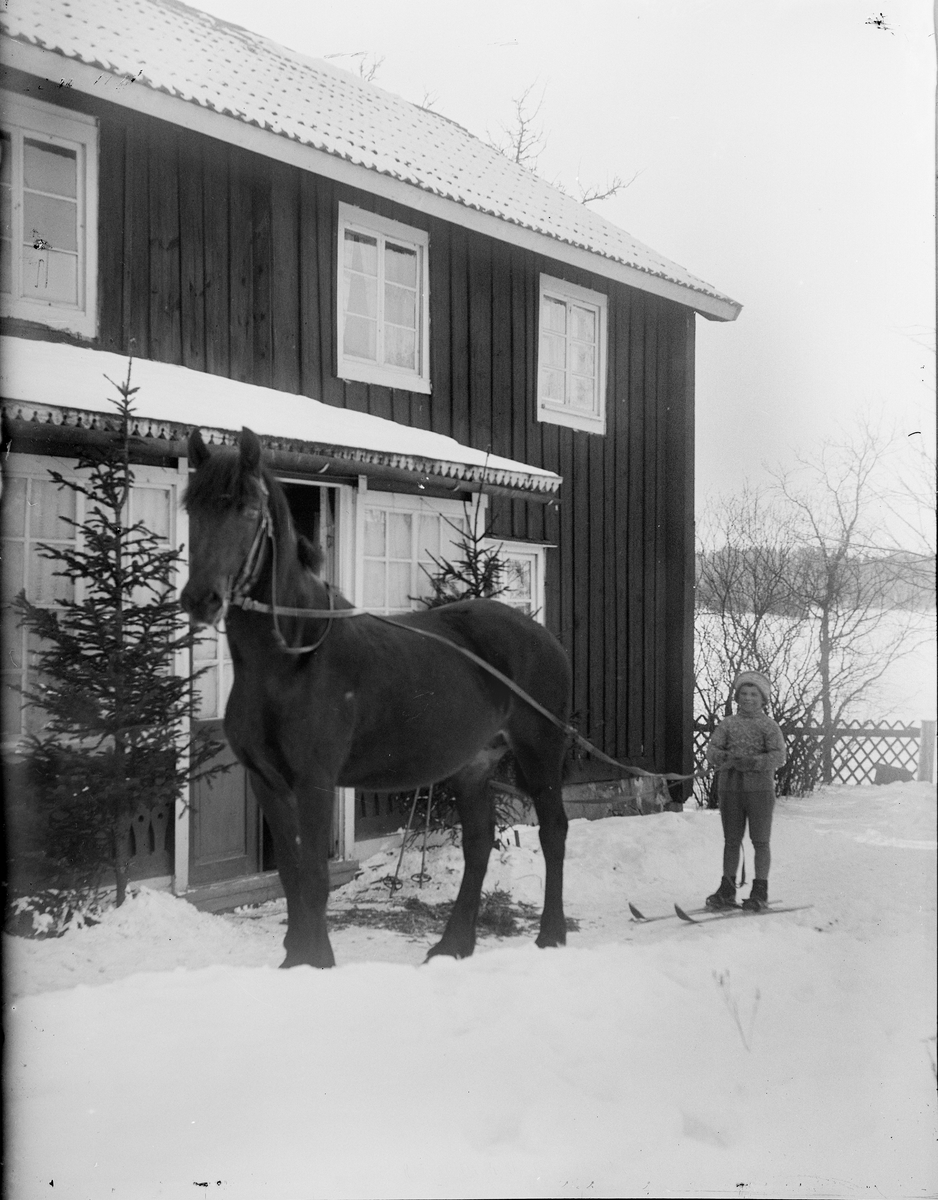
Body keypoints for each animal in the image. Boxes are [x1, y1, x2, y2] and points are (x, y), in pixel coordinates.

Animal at [178, 427, 568, 969]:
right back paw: (453, 945)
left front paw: (317, 962)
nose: (202, 600)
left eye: (249, 510)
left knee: (553, 832)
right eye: (191, 506)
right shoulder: (267, 782)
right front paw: (294, 961)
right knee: (478, 842)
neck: (293, 656)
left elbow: (315, 878)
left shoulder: (315, 782)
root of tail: (541, 633)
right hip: (473, 765)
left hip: (540, 750)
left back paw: (550, 935)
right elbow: (291, 876)